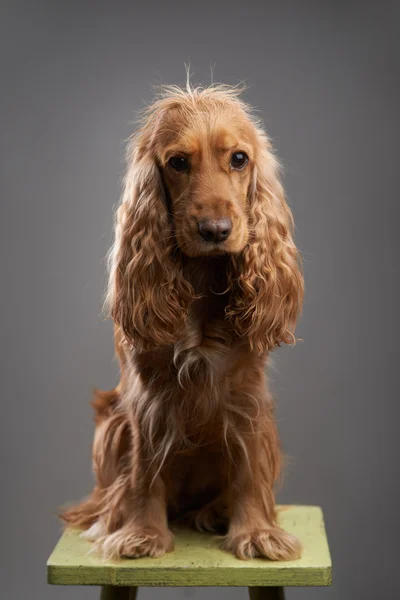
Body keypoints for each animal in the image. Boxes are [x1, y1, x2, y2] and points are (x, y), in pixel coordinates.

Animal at [61, 84, 304, 564]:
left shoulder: (247, 394)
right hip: (109, 426)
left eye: (239, 158)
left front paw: (257, 532)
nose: (216, 229)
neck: (201, 281)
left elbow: (249, 468)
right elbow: (144, 471)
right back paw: (107, 518)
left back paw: (213, 512)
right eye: (177, 162)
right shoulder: (146, 397)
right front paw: (141, 533)